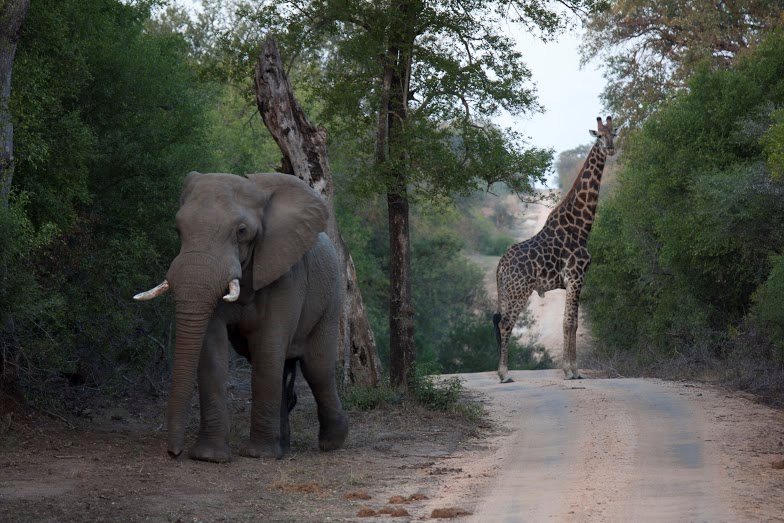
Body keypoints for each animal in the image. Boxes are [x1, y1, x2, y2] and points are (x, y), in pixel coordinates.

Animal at [133, 172, 348, 462]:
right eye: (178, 229)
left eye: (241, 231)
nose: (174, 453)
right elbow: (212, 353)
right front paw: (209, 457)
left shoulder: (285, 273)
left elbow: (267, 349)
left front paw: (258, 455)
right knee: (287, 369)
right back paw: (283, 446)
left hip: (331, 297)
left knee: (317, 368)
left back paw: (331, 443)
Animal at [496, 116, 620, 382]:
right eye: (598, 136)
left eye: (613, 133)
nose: (610, 148)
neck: (581, 226)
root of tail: (499, 267)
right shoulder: (575, 276)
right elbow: (569, 322)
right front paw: (570, 370)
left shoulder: (576, 279)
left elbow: (572, 322)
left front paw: (574, 370)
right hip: (519, 291)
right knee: (506, 323)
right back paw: (504, 373)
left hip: (508, 291)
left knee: (501, 322)